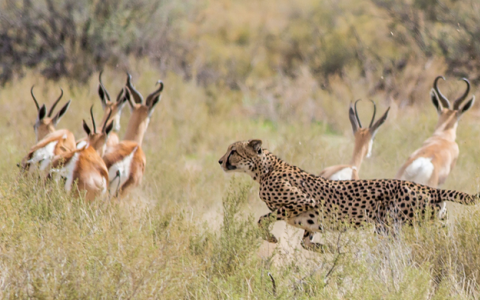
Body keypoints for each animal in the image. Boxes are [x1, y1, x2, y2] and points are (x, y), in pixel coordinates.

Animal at [219, 139, 478, 250]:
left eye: (234, 151)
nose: (220, 161)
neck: (264, 169)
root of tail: (429, 188)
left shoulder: (303, 202)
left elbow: (263, 219)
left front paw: (271, 238)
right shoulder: (311, 221)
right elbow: (306, 242)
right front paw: (331, 250)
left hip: (392, 227)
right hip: (434, 225)